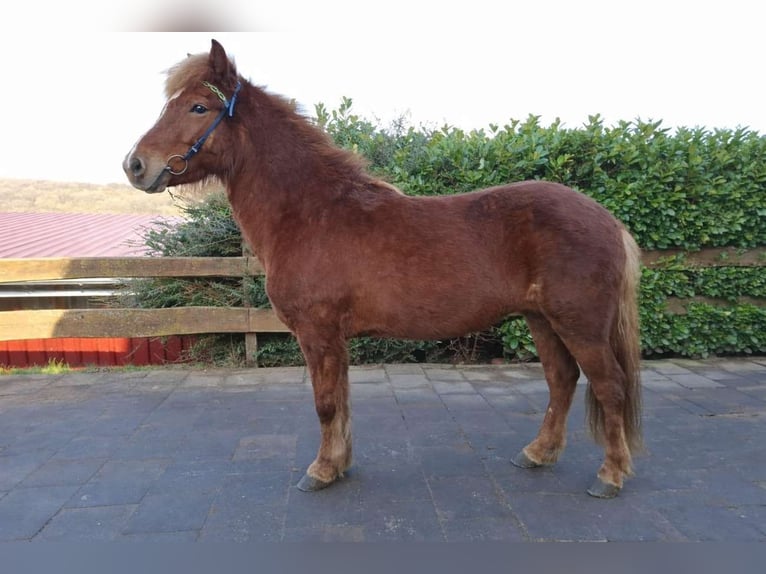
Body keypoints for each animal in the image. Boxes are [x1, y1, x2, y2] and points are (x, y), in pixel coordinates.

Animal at [123, 39, 643, 498]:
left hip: (579, 324)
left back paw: (611, 476)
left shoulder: (318, 333)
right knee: (562, 380)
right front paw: (339, 464)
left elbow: (325, 403)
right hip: (542, 320)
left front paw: (320, 471)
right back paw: (537, 453)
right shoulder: (334, 339)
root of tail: (607, 219)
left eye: (198, 108)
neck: (310, 212)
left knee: (610, 386)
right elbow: (340, 401)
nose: (135, 165)